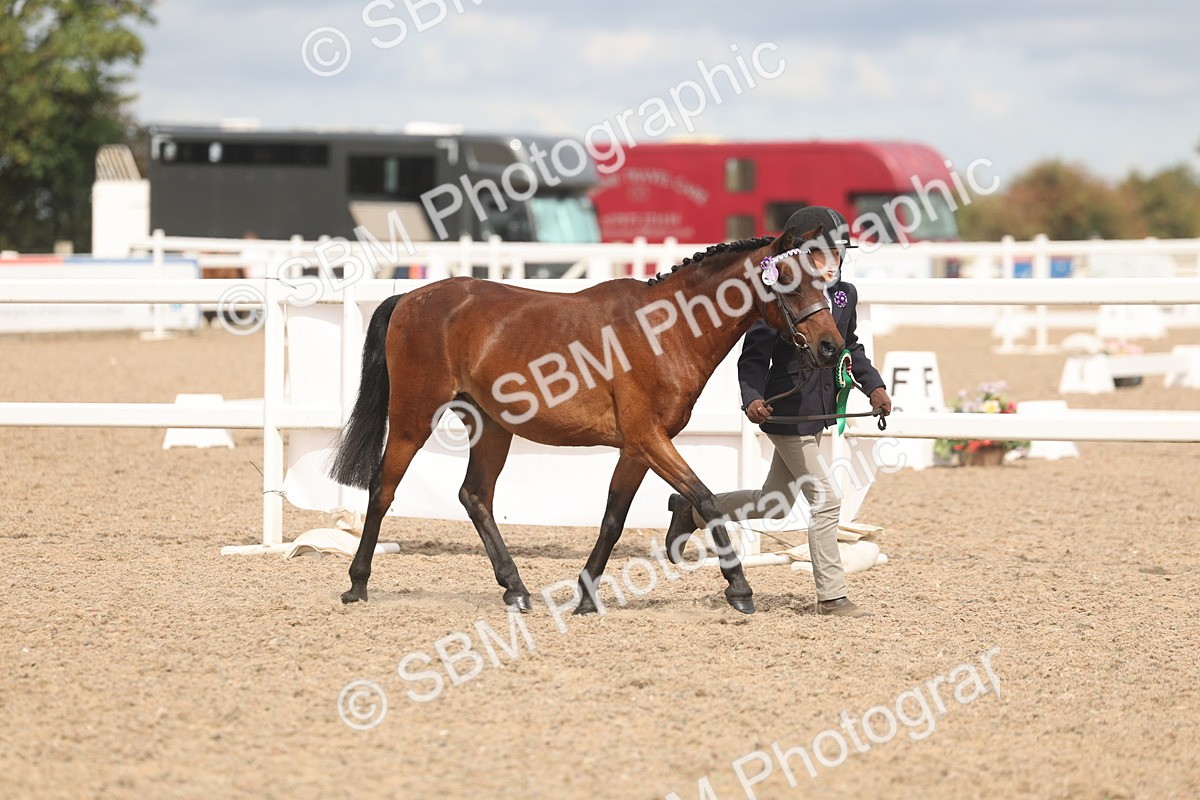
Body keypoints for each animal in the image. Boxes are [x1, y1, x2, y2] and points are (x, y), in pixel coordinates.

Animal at [328, 225, 845, 615]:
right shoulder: (649, 439)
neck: (667, 329)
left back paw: (516, 589)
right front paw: (739, 589)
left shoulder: (638, 448)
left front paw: (585, 595)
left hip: (492, 427)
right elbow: (707, 499)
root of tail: (410, 298)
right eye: (788, 280)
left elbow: (614, 519)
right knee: (383, 488)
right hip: (414, 418)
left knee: (474, 496)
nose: (830, 347)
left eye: (824, 280)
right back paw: (357, 584)